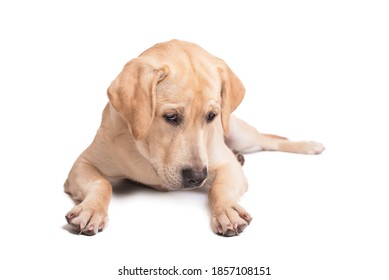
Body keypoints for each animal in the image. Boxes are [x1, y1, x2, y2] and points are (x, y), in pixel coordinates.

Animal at [64, 39, 324, 236]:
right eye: (171, 116)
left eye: (211, 116)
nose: (197, 177)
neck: (149, 158)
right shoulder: (82, 164)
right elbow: (102, 183)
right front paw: (91, 210)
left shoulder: (227, 166)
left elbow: (218, 187)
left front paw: (226, 210)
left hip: (239, 133)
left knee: (268, 139)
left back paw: (308, 145)